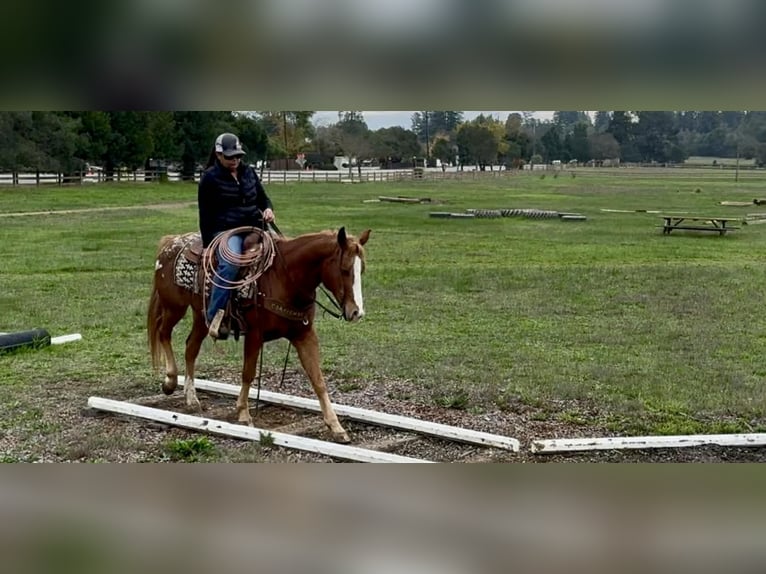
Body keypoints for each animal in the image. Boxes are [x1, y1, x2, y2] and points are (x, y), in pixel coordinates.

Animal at [147, 226, 371, 443]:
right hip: (174, 307)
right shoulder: (255, 335)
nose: (356, 312)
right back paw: (170, 381)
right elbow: (248, 373)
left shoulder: (304, 335)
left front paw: (336, 427)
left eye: (362, 269)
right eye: (344, 269)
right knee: (164, 333)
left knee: (190, 348)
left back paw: (191, 398)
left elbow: (318, 379)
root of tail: (171, 242)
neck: (285, 277)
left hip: (201, 316)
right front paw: (244, 414)